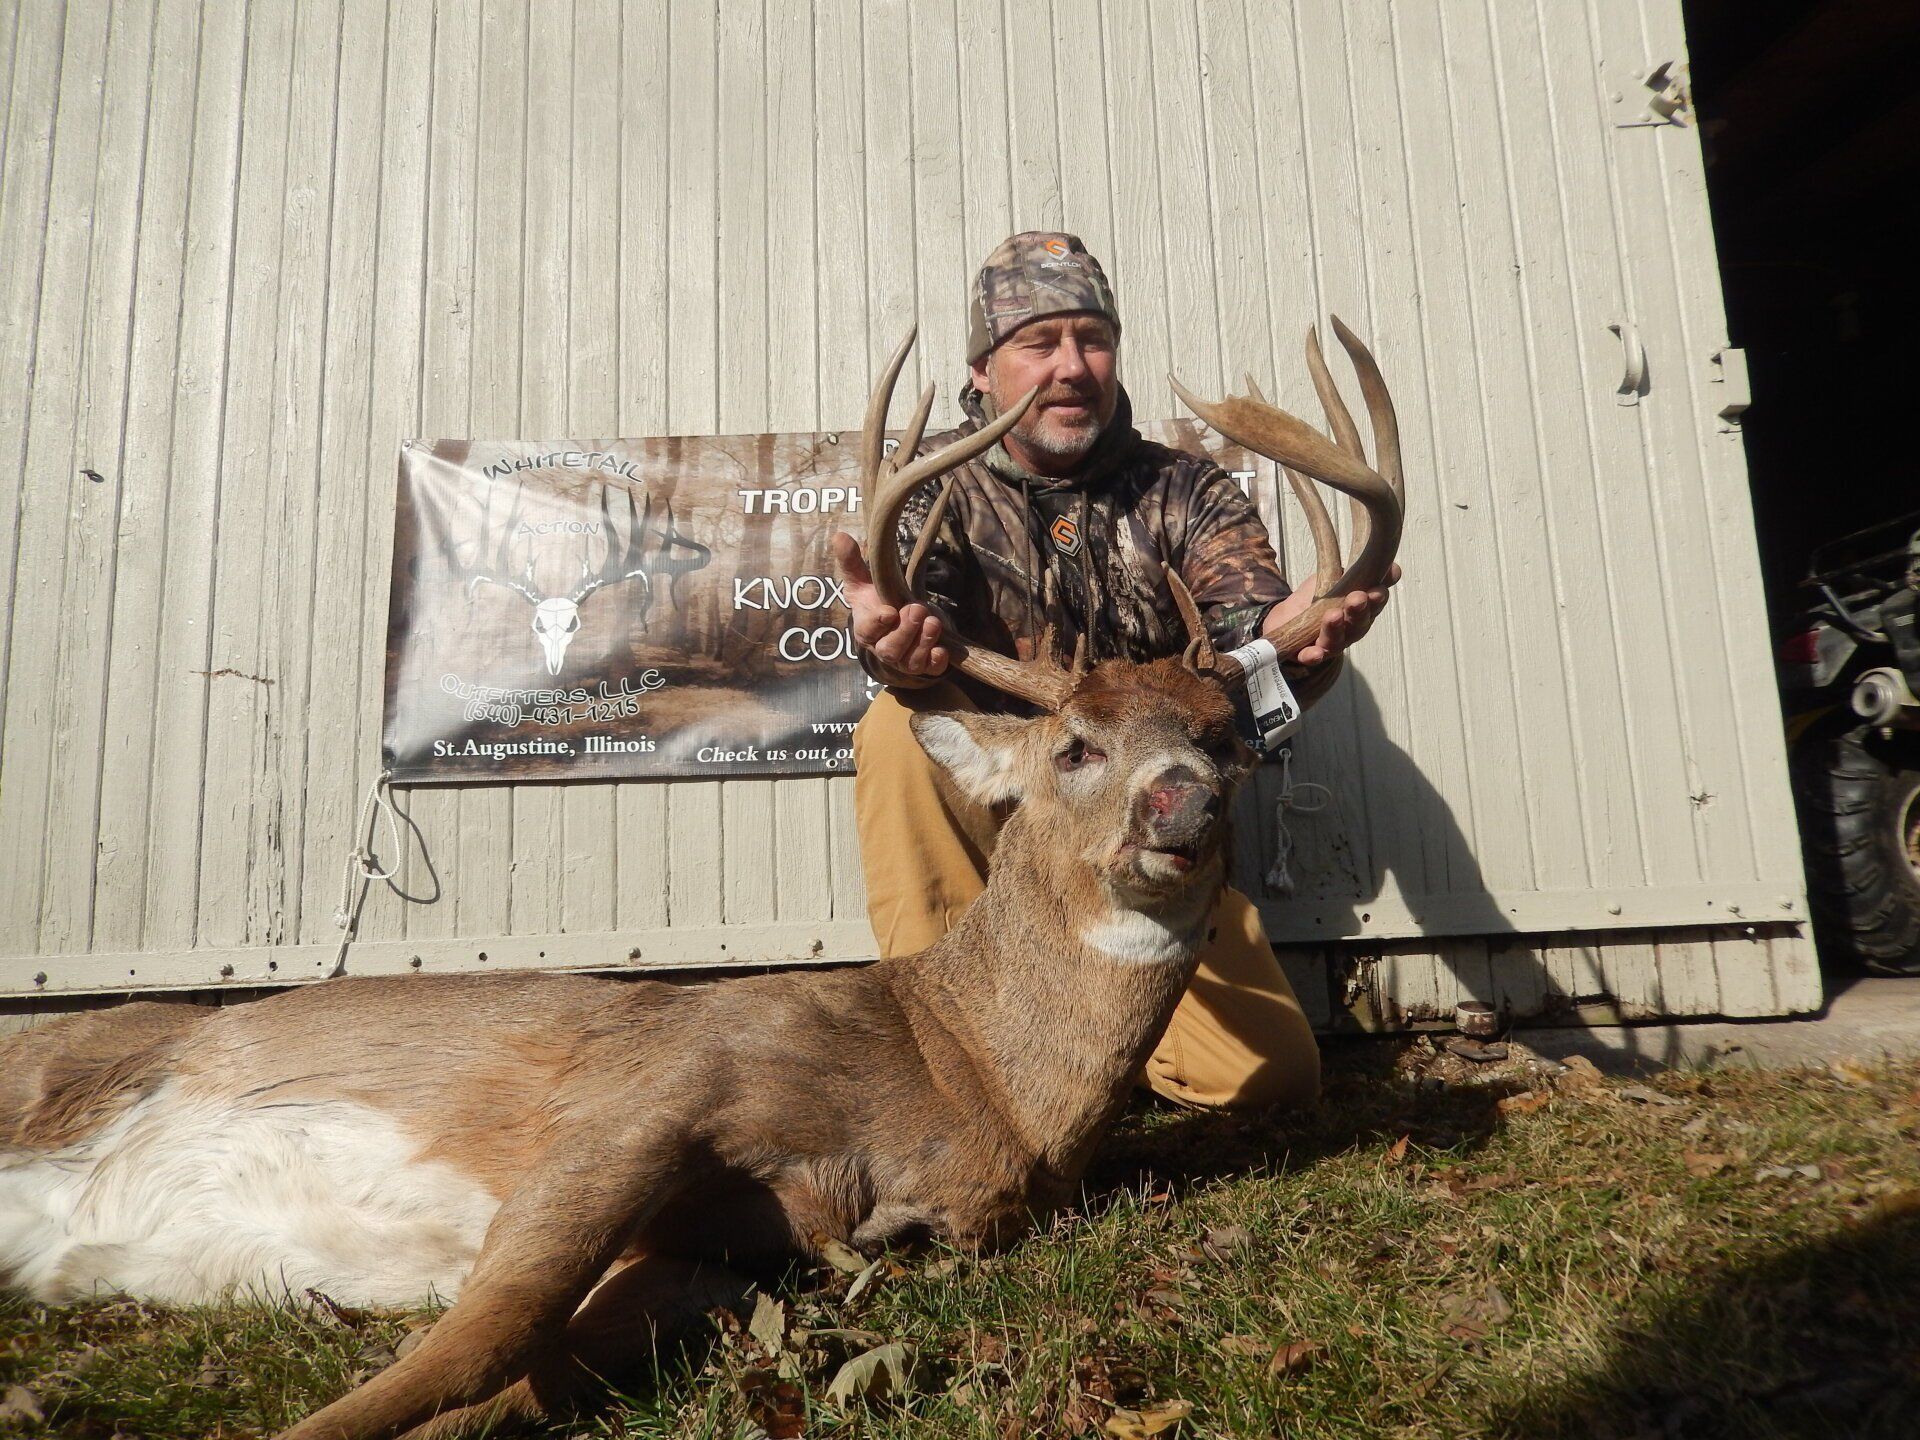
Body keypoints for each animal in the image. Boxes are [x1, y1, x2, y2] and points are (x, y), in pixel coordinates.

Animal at [0, 319, 1402, 1440]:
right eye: (1075, 748)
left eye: (1226, 741)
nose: (1185, 799)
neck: (969, 1076)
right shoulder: (657, 1088)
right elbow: (480, 1339)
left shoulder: (737, 1255)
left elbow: (519, 1377)